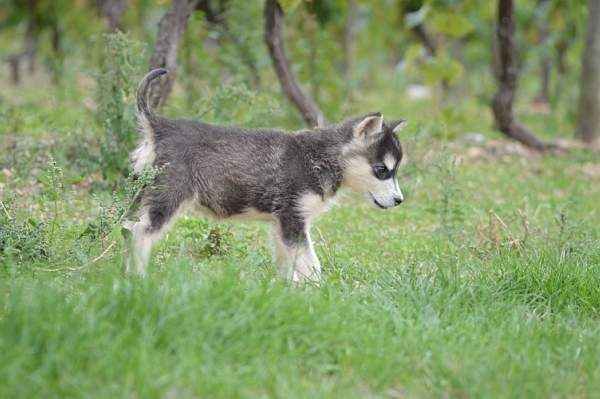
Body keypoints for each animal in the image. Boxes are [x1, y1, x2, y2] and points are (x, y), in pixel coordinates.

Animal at [126, 68, 408, 282]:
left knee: (127, 227)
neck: (321, 157)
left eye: (395, 170)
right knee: (140, 232)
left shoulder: (281, 224)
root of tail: (160, 126)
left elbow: (289, 266)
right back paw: (138, 278)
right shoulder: (293, 220)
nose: (399, 201)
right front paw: (321, 294)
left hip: (142, 193)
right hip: (167, 199)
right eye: (382, 170)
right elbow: (311, 265)